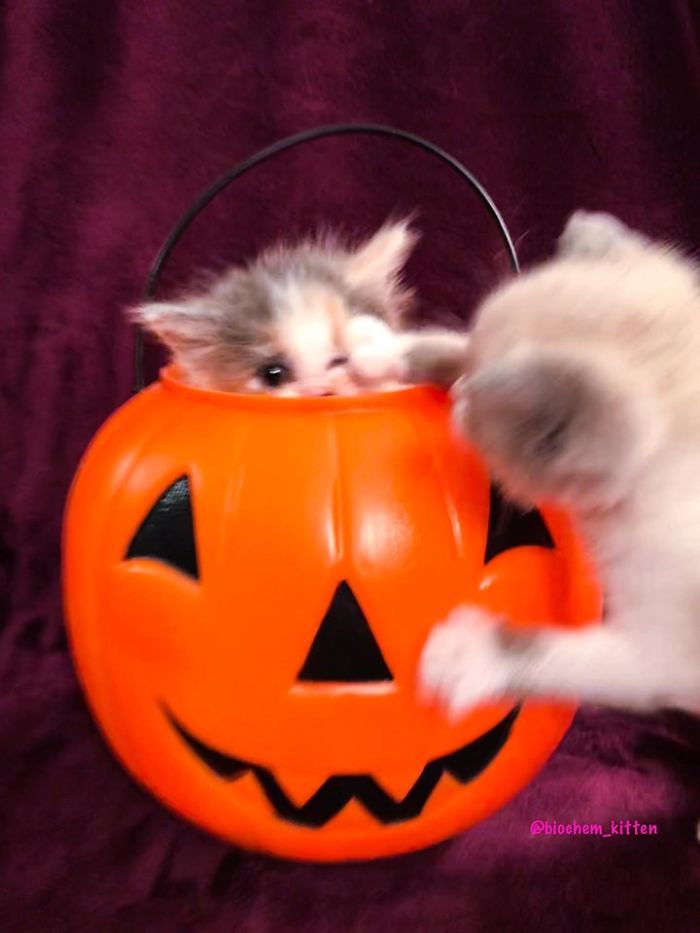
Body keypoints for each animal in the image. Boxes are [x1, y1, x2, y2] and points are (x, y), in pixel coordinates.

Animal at [410, 213, 700, 720]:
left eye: (473, 414)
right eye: (466, 381)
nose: (461, 395)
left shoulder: (667, 657)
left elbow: (563, 657)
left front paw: (470, 654)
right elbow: (452, 343)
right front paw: (381, 348)